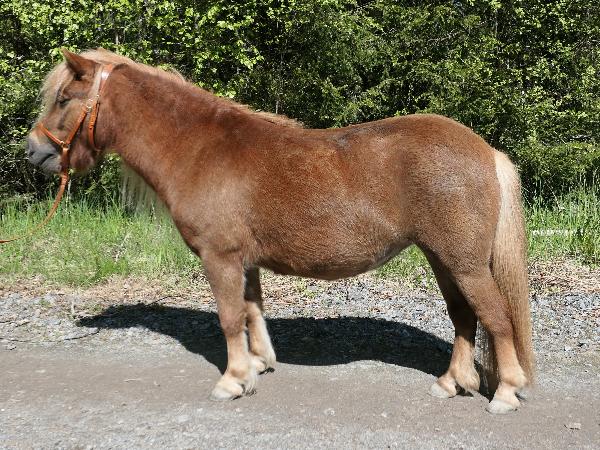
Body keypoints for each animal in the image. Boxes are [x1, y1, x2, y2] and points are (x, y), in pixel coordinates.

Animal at [26, 48, 534, 414]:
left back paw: (506, 392)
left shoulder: (220, 257)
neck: (198, 148)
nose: (34, 153)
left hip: (464, 263)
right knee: (464, 318)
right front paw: (257, 365)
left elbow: (229, 317)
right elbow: (252, 312)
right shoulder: (244, 260)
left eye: (63, 99)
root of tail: (485, 150)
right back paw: (451, 383)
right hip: (444, 259)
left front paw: (232, 381)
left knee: (495, 317)